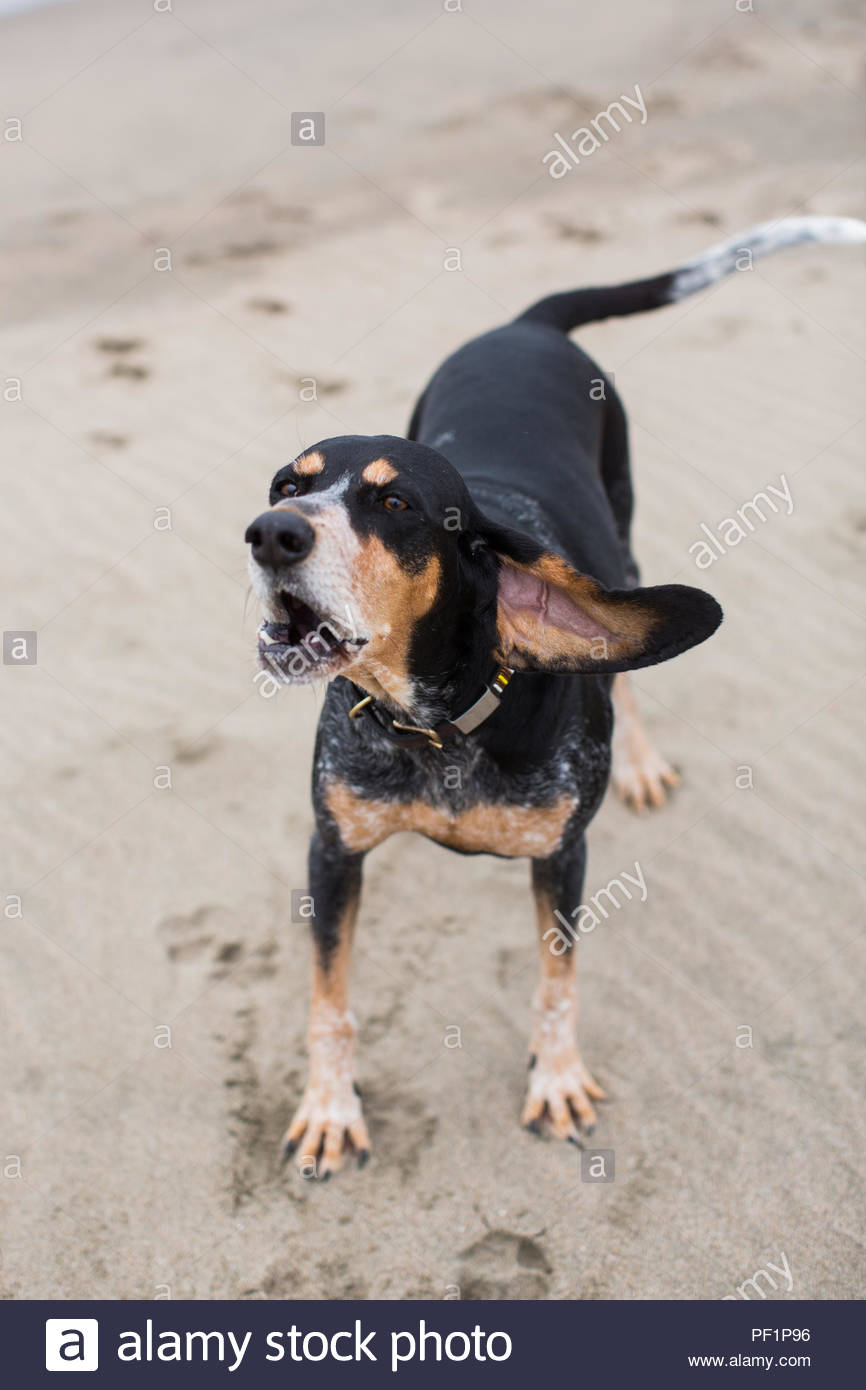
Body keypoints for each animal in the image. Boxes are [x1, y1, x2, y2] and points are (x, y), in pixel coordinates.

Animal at [246, 214, 866, 1173]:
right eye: (288, 483)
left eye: (397, 505)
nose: (269, 533)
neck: (440, 728)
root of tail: (527, 325)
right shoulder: (333, 853)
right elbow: (329, 1000)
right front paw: (327, 1108)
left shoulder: (564, 858)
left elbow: (558, 982)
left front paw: (558, 1078)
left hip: (624, 523)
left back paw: (642, 761)